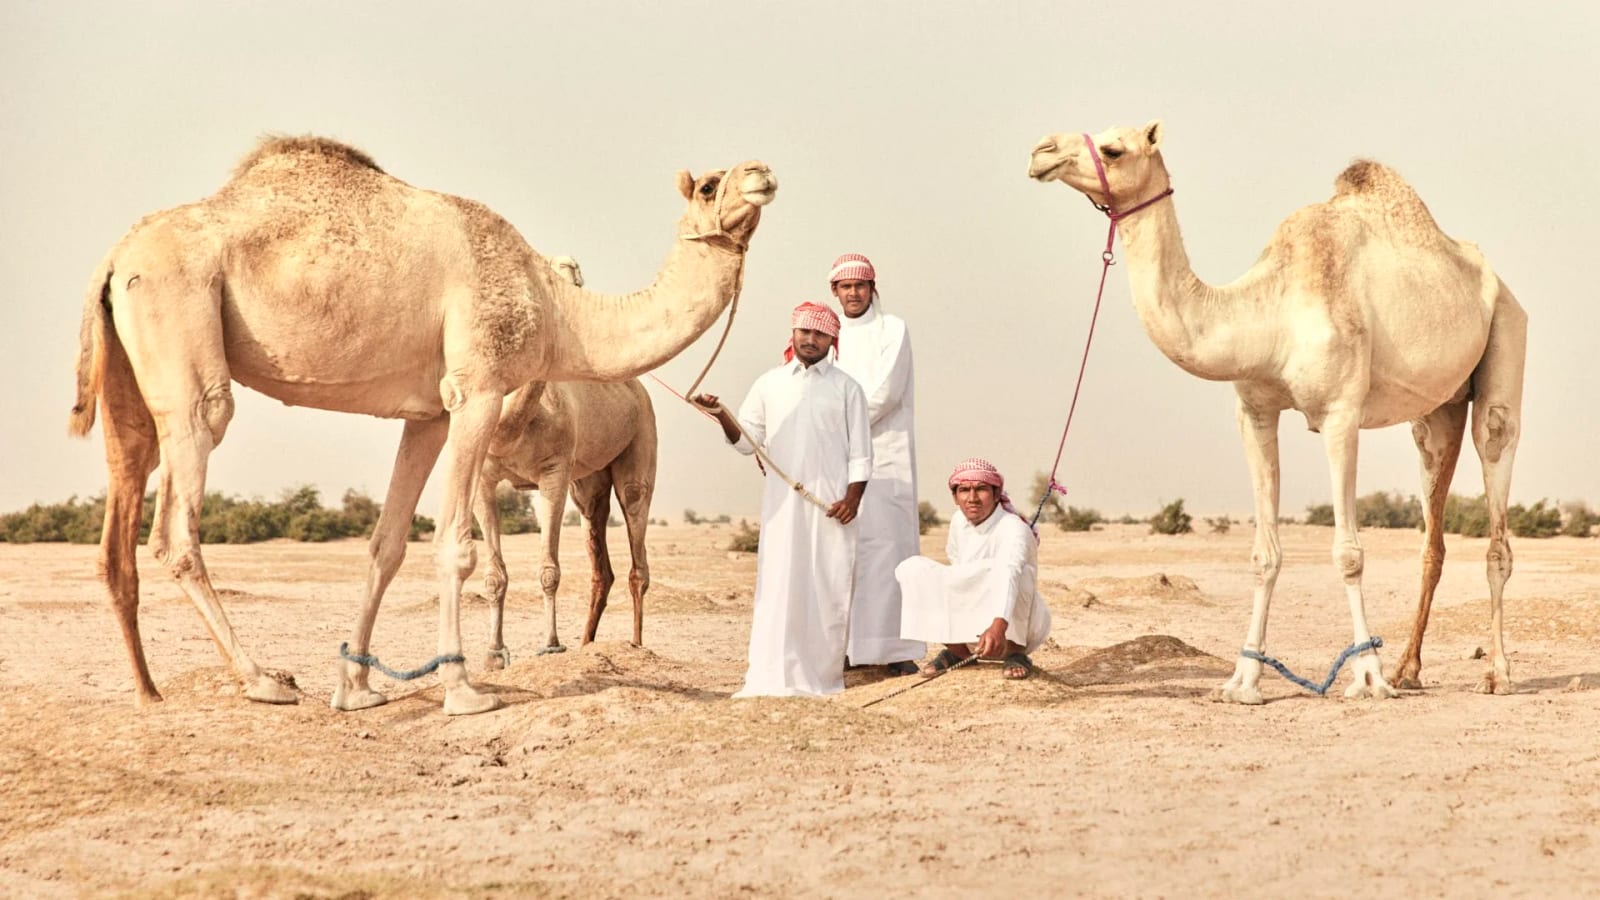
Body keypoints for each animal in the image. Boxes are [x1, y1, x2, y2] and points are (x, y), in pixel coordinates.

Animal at [475, 256, 659, 664]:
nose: (572, 267)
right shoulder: (484, 478)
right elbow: (494, 574)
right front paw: (494, 653)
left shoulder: (554, 472)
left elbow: (549, 568)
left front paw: (550, 644)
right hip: (588, 483)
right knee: (600, 558)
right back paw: (587, 644)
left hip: (642, 437)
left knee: (636, 532)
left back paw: (637, 646)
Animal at [1028, 122, 1526, 703]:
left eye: (1113, 149)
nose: (1040, 152)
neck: (1267, 312)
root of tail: (1496, 280)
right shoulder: (1254, 412)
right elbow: (1263, 554)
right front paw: (1243, 680)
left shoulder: (1340, 412)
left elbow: (1349, 553)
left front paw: (1367, 676)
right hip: (1437, 411)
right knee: (1433, 527)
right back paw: (1409, 670)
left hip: (1505, 341)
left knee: (1495, 486)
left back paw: (1496, 674)